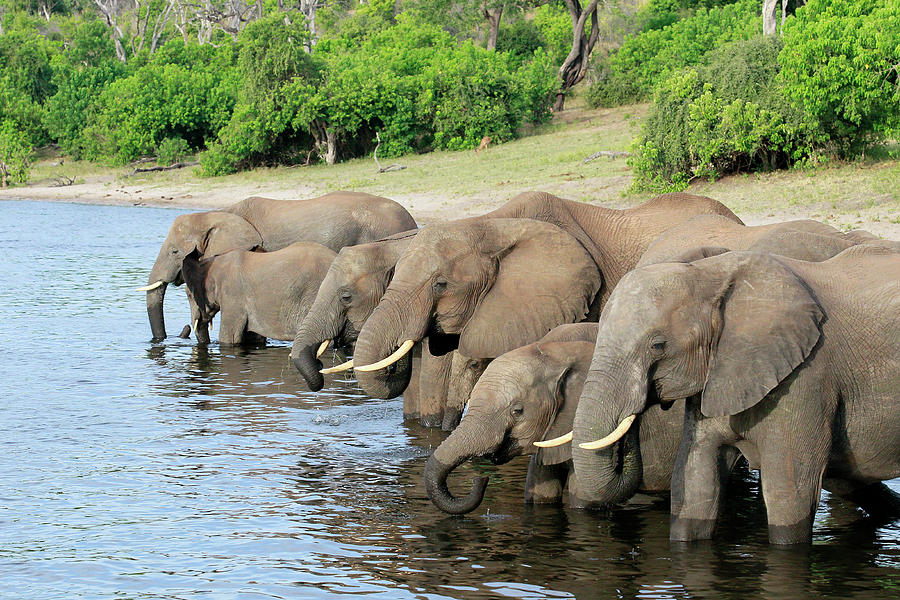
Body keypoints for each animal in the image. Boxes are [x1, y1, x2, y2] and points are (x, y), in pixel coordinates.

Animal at [571, 245, 900, 544]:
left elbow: (790, 493)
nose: (629, 428)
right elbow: (696, 479)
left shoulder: (806, 378)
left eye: (658, 346)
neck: (710, 273)